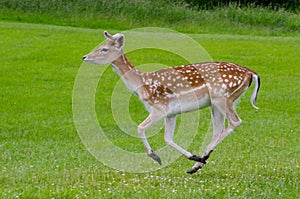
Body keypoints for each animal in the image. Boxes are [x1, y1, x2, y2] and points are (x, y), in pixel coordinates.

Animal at [82, 31, 260, 174]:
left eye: (104, 49)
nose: (84, 57)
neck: (142, 85)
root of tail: (250, 73)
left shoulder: (159, 107)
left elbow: (140, 127)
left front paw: (155, 156)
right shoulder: (171, 113)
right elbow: (167, 138)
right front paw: (192, 157)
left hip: (222, 98)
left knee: (235, 121)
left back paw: (203, 157)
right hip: (217, 103)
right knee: (218, 129)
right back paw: (198, 163)